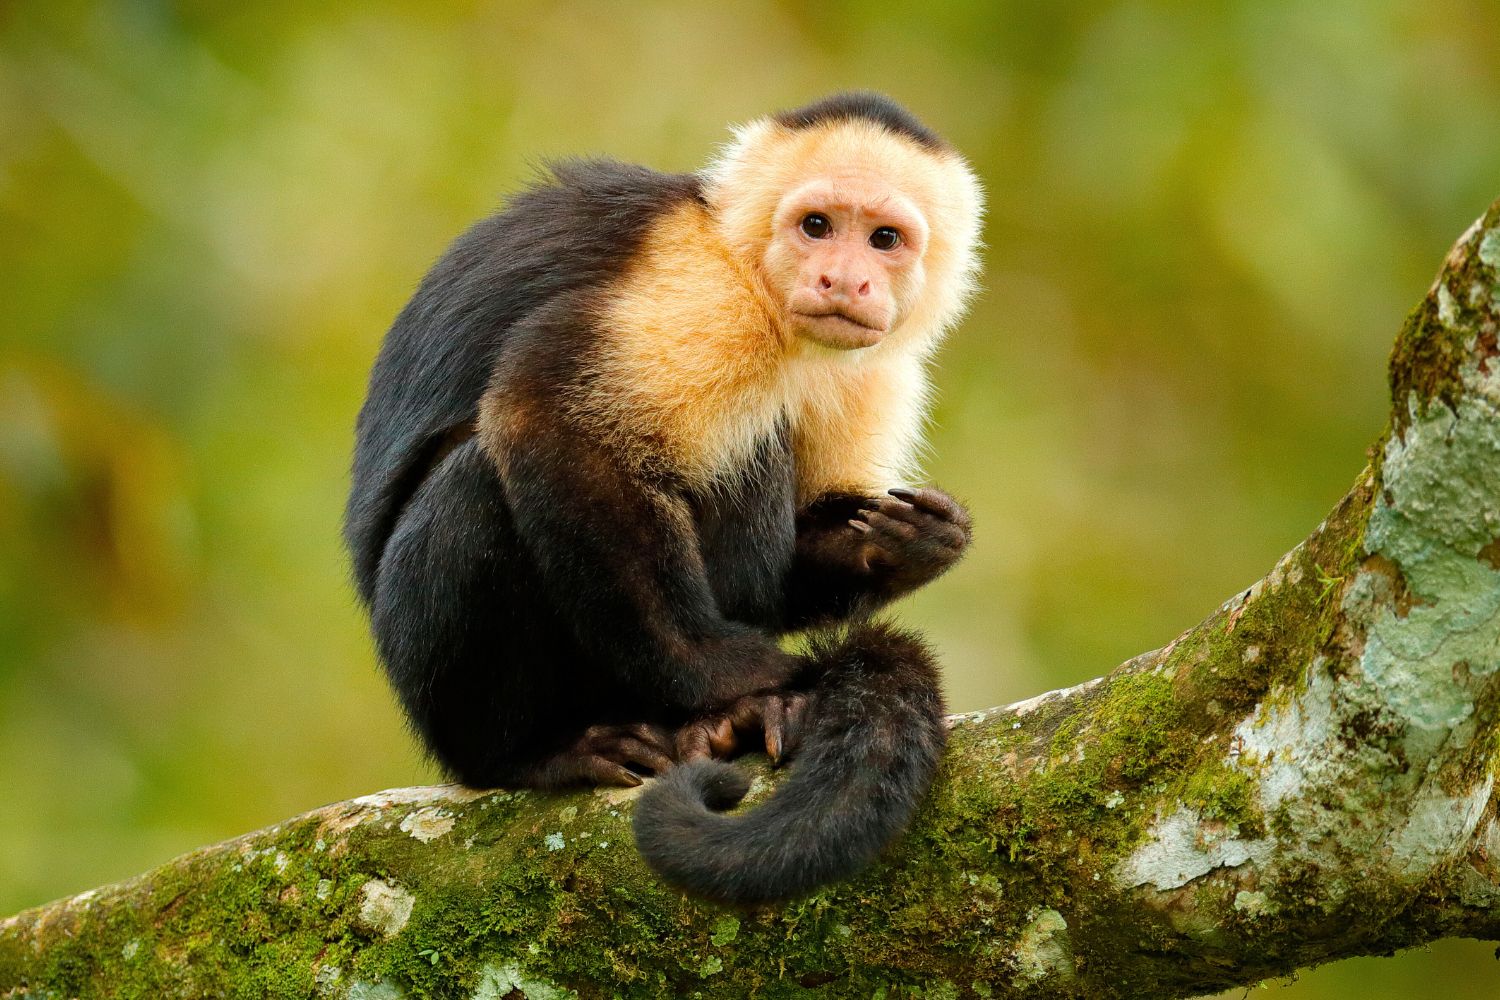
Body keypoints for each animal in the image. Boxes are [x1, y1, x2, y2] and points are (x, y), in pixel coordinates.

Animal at [344, 92, 984, 905]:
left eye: (885, 239)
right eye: (817, 226)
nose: (845, 279)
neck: (756, 284)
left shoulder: (877, 369)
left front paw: (906, 547)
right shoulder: (702, 294)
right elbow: (548, 418)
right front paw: (736, 676)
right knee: (483, 482)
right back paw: (535, 752)